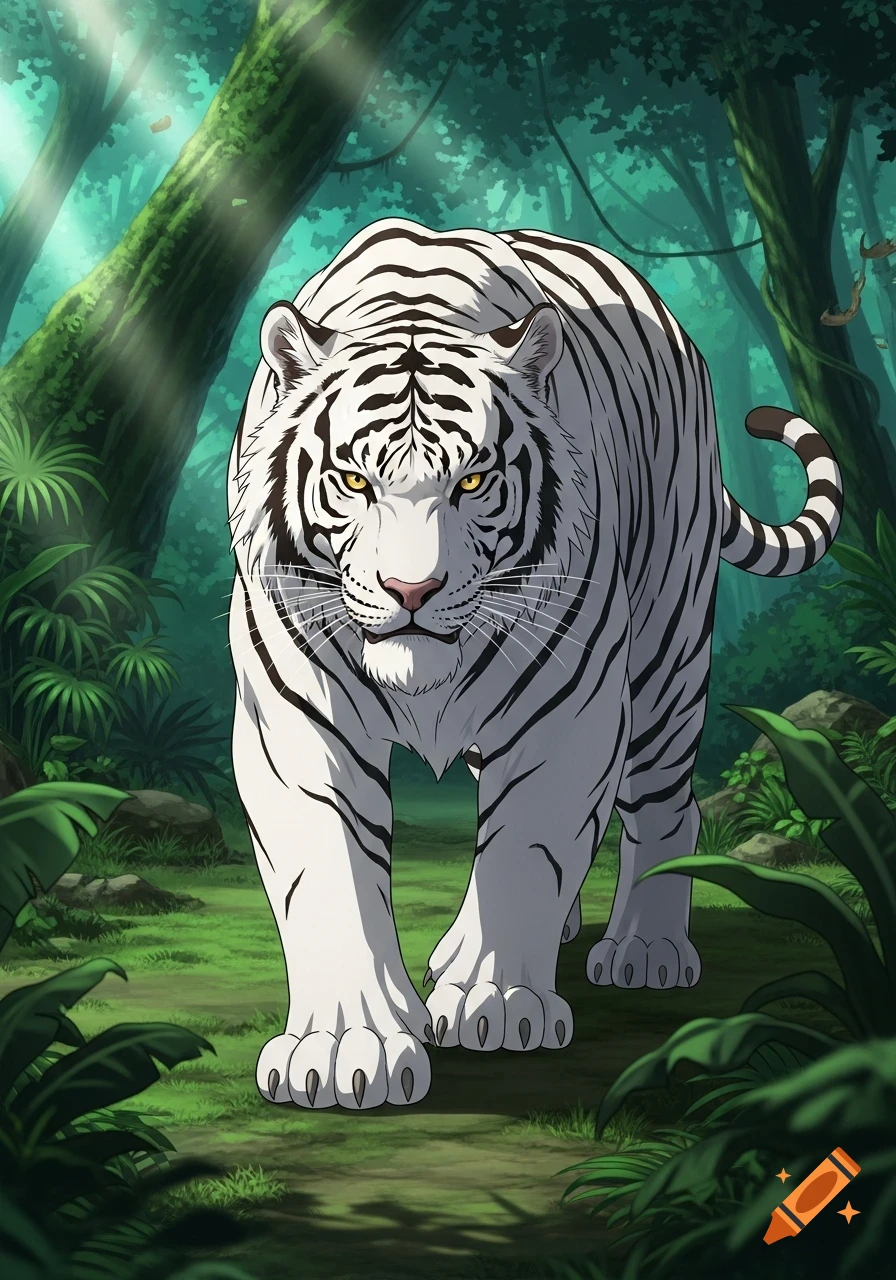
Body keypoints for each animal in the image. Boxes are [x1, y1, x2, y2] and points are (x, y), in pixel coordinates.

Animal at [227, 216, 843, 1111]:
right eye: (353, 481)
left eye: (473, 480)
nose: (411, 590)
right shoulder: (297, 714)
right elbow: (329, 869)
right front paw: (346, 1049)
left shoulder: (568, 704)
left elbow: (528, 845)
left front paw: (495, 1002)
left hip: (666, 650)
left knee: (665, 805)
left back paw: (645, 950)